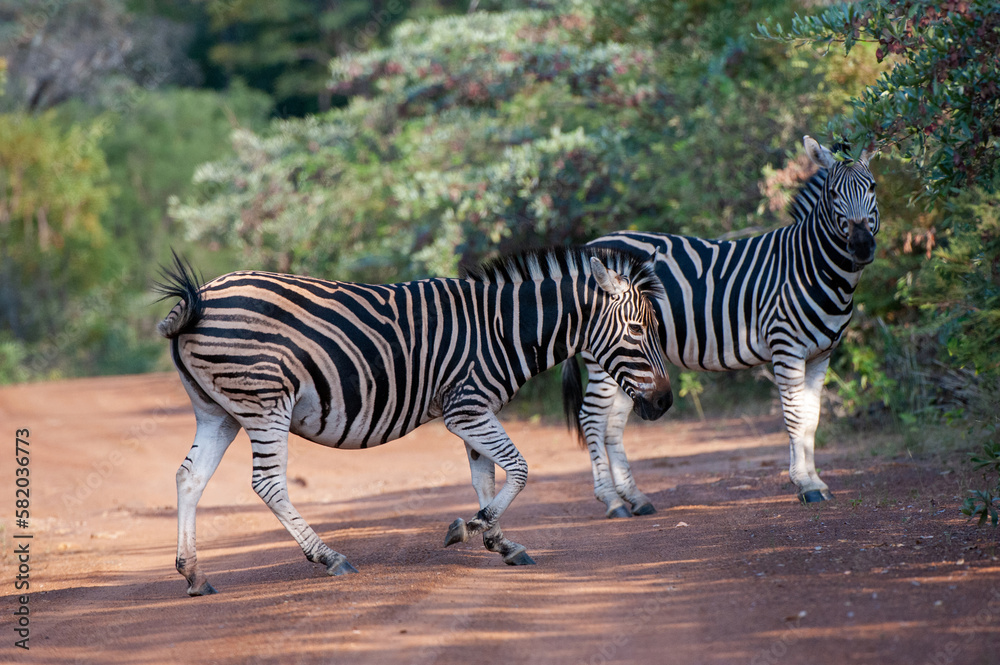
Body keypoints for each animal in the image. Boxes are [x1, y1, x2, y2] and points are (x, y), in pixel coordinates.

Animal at [156, 246, 672, 595]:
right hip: (265, 402)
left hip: (219, 411)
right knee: (267, 483)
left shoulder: (474, 410)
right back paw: (329, 557)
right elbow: (519, 469)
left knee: (188, 477)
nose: (665, 403)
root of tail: (200, 297)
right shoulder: (467, 408)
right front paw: (471, 528)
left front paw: (499, 541)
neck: (505, 330)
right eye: (637, 330)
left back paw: (194, 574)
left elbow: (487, 477)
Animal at [562, 136, 879, 516]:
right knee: (591, 419)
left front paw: (816, 481)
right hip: (606, 356)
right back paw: (612, 501)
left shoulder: (821, 354)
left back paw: (636, 498)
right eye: (833, 194)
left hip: (629, 364)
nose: (862, 247)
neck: (811, 267)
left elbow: (811, 418)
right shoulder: (786, 348)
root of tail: (590, 246)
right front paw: (804, 484)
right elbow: (793, 417)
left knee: (612, 424)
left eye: (873, 187)